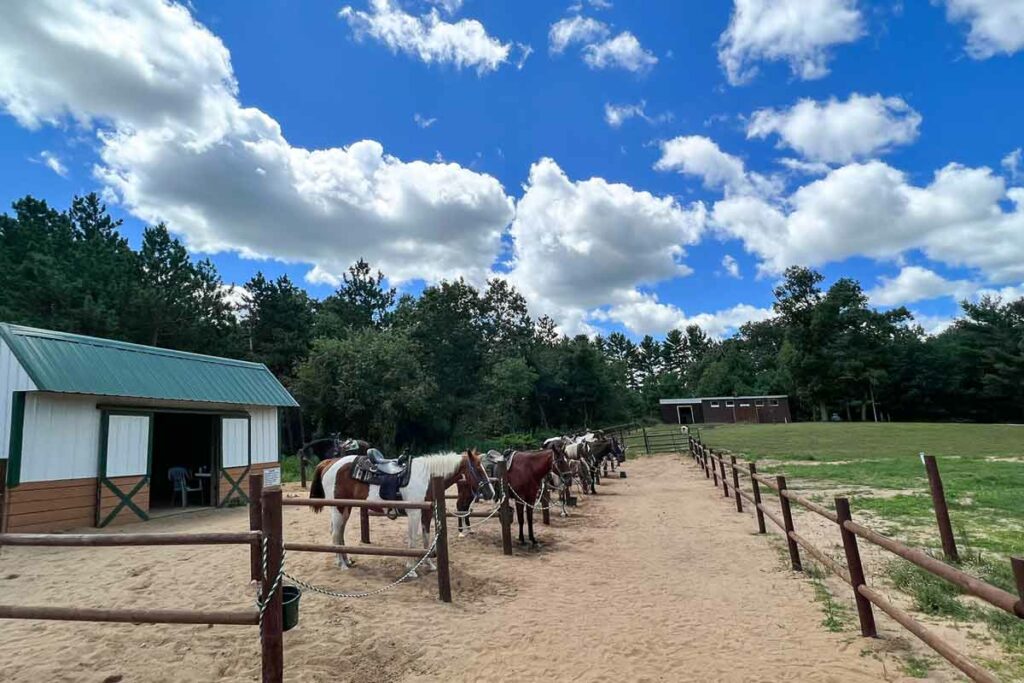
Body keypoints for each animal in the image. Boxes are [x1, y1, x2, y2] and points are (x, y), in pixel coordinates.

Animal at [307, 450, 491, 573]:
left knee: (339, 533)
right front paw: (411, 568)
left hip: (345, 508)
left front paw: (429, 565)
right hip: (338, 508)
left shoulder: (426, 514)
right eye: (478, 469)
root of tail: (329, 462)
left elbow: (426, 539)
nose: (491, 493)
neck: (426, 477)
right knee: (335, 534)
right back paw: (342, 565)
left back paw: (347, 561)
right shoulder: (414, 513)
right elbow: (412, 540)